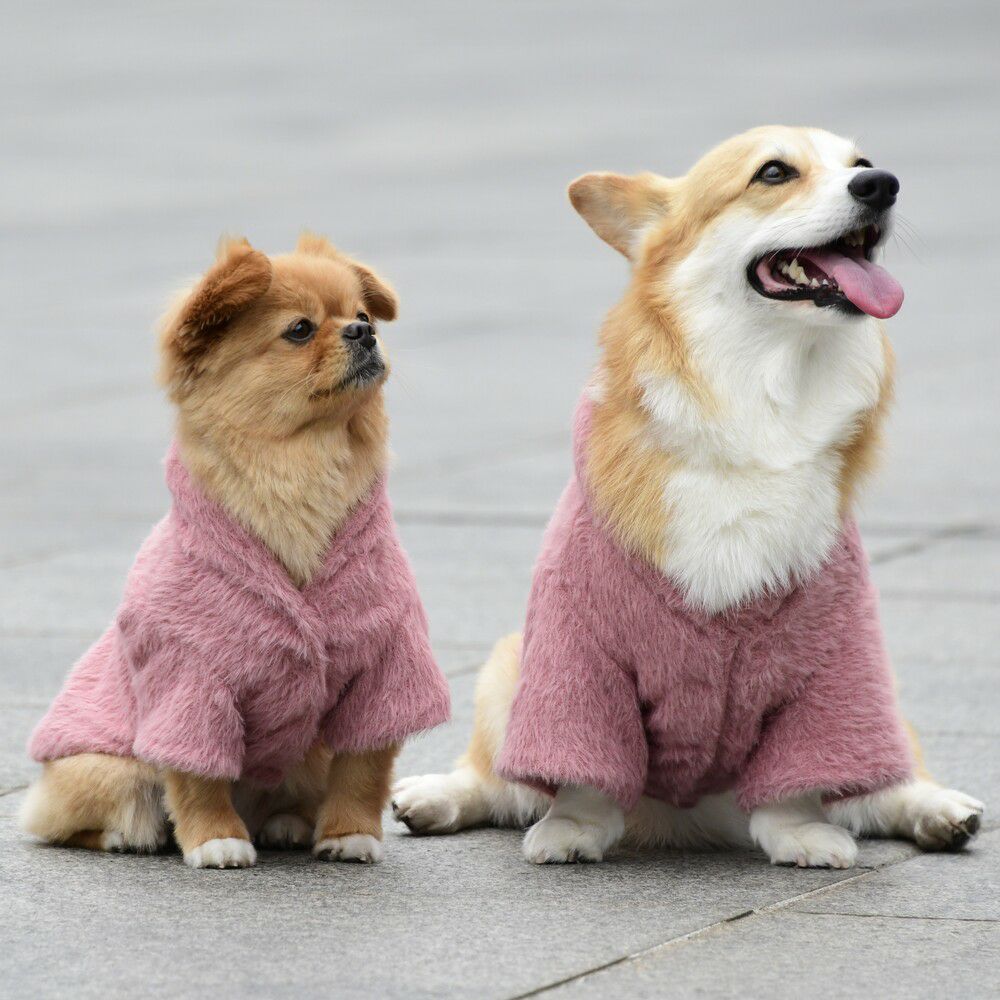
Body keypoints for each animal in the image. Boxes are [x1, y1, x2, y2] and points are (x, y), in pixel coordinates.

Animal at [20, 234, 450, 868]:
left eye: (364, 316)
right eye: (300, 330)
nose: (362, 333)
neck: (302, 467)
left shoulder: (385, 667)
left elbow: (363, 770)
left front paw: (349, 834)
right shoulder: (190, 680)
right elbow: (198, 778)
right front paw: (215, 840)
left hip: (307, 755)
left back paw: (286, 823)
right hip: (106, 769)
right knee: (77, 820)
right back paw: (136, 835)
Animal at [391, 126, 984, 868]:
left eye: (861, 163)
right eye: (774, 173)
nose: (882, 185)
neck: (762, 400)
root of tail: (690, 822)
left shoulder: (833, 663)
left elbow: (802, 778)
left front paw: (803, 834)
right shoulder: (578, 653)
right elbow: (580, 770)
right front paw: (572, 829)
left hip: (884, 706)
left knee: (882, 784)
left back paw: (938, 811)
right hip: (506, 669)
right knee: (495, 781)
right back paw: (434, 796)